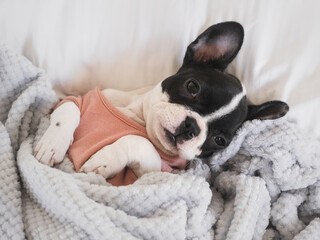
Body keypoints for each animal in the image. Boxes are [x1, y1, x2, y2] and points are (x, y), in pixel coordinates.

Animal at [33, 22, 288, 182]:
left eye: (219, 140)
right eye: (192, 87)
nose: (191, 127)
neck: (135, 115)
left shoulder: (153, 175)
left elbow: (138, 142)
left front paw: (104, 160)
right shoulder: (79, 96)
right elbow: (69, 109)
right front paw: (52, 144)